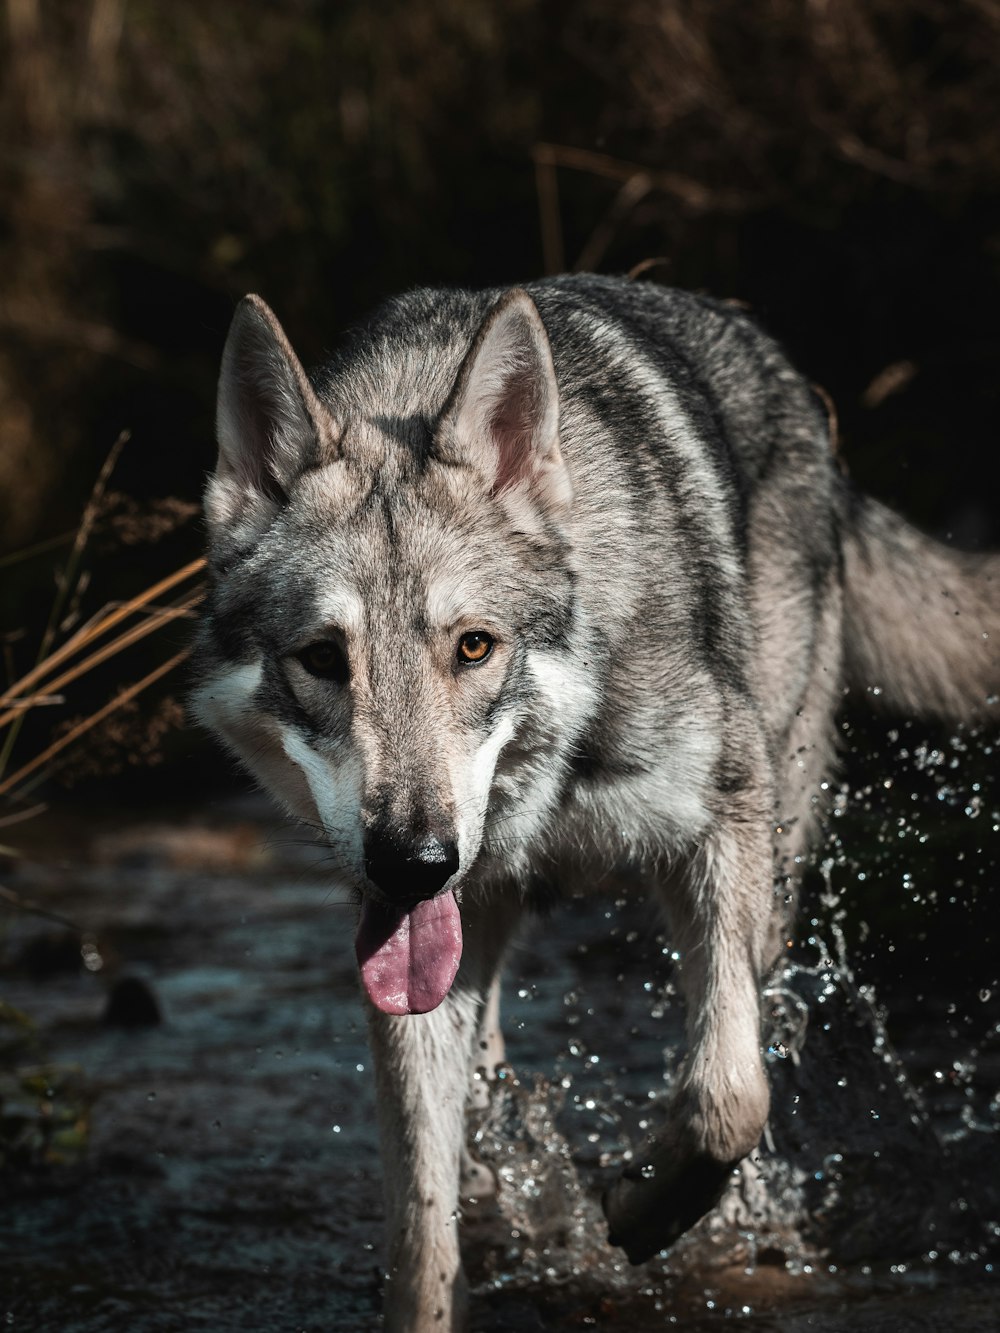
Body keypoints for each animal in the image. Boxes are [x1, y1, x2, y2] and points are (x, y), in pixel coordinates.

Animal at [192, 275, 997, 1327]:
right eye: (323, 659)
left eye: (475, 646)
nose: (414, 860)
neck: (555, 780)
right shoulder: (406, 938)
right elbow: (420, 1233)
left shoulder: (721, 824)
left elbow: (728, 1093)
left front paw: (648, 1209)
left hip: (774, 865)